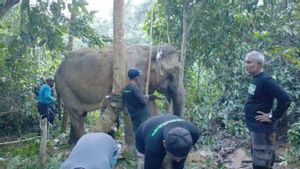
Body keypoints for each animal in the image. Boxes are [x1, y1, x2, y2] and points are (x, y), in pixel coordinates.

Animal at [54, 44, 185, 142]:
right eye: (171, 74)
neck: (150, 50)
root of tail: (56, 72)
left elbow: (151, 108)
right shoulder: (128, 76)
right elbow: (139, 106)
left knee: (81, 114)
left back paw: (71, 143)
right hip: (65, 88)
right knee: (76, 115)